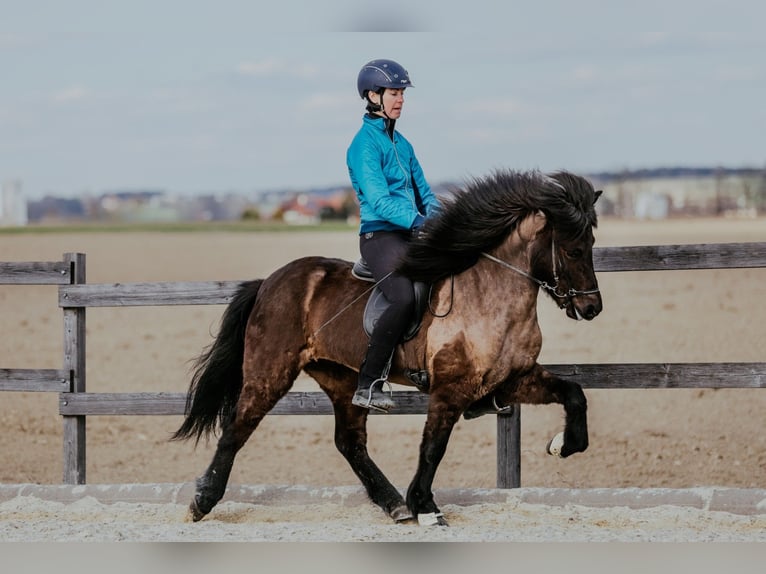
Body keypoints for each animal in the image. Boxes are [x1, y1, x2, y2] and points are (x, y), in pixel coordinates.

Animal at [172, 169, 603, 526]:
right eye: (574, 250)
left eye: (591, 244)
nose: (591, 308)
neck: (492, 296)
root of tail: (268, 283)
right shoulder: (450, 390)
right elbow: (433, 447)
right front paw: (426, 507)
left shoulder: (514, 379)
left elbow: (574, 393)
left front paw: (563, 445)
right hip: (269, 373)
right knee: (236, 429)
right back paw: (202, 502)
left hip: (342, 378)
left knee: (350, 443)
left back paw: (393, 504)